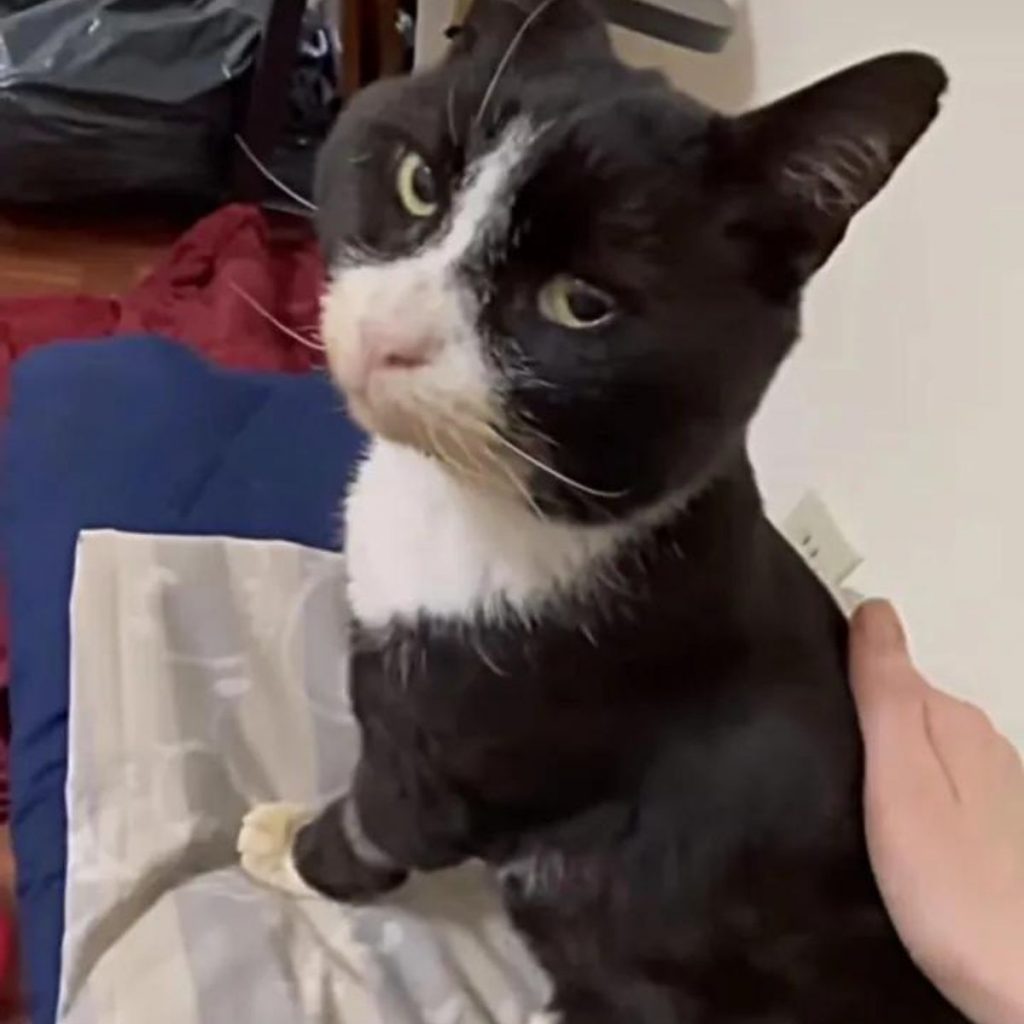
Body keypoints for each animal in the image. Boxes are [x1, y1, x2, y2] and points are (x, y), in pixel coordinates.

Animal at [235, 4, 962, 1019]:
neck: (476, 506)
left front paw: (289, 844)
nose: (388, 337)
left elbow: (384, 822)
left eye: (581, 304)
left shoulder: (486, 734)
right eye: (420, 183)